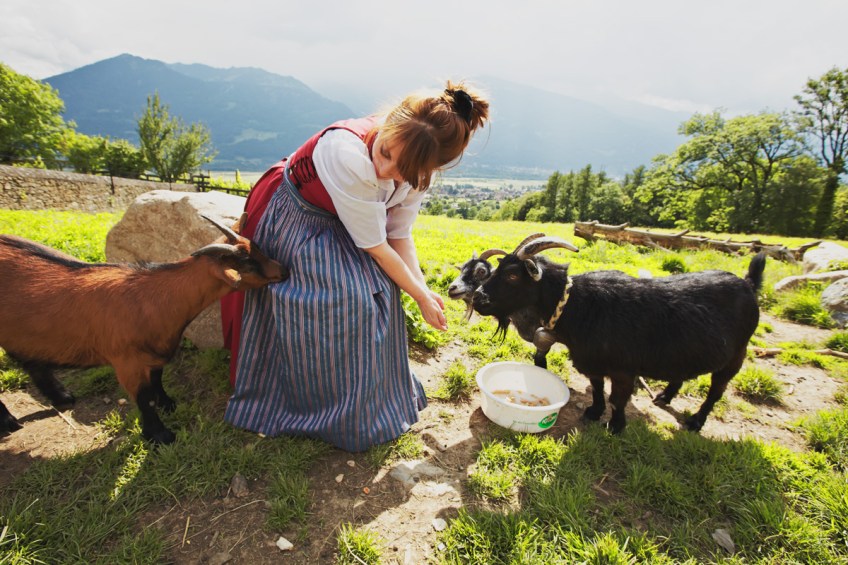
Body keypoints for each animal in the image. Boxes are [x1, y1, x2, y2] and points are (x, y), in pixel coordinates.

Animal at [0, 215, 289, 444]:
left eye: (257, 248)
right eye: (247, 263)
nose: (284, 270)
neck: (150, 297)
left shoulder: (157, 352)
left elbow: (157, 380)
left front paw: (168, 403)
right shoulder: (127, 362)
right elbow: (143, 398)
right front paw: (160, 435)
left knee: (31, 361)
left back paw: (61, 398)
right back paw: (9, 422)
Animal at [472, 236, 766, 433]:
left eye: (512, 275)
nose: (477, 298)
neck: (577, 305)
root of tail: (748, 284)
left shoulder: (624, 369)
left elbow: (618, 398)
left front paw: (615, 426)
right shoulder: (593, 362)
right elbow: (597, 388)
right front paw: (593, 412)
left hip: (736, 355)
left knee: (716, 390)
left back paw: (696, 420)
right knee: (681, 375)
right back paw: (664, 397)